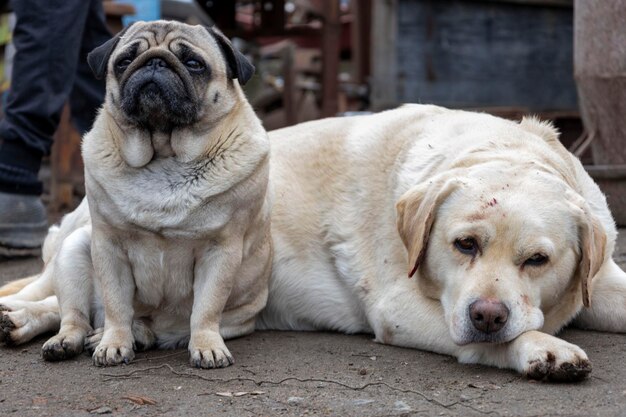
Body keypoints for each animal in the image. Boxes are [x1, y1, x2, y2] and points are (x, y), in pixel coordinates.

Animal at [1, 21, 272, 368]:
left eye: (193, 63)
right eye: (125, 61)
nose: (155, 62)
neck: (165, 153)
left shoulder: (221, 252)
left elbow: (206, 309)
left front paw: (207, 346)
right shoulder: (109, 247)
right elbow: (117, 306)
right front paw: (114, 343)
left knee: (138, 323)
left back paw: (130, 334)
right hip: (74, 252)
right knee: (73, 314)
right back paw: (60, 337)